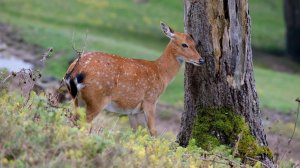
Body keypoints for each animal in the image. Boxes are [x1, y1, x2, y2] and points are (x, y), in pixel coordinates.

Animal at [63, 22, 204, 135]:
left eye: (195, 44)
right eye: (184, 44)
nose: (201, 60)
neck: (160, 73)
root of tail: (74, 72)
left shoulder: (132, 111)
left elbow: (135, 133)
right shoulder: (150, 100)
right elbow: (153, 131)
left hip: (78, 99)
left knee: (73, 121)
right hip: (97, 98)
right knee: (82, 124)